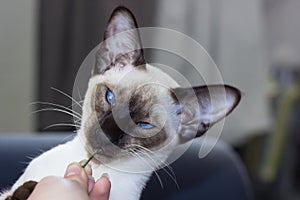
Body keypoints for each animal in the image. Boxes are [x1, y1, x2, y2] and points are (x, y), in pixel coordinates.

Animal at [0, 5, 240, 200]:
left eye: (144, 124)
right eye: (110, 97)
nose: (107, 134)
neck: (93, 169)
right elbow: (14, 193)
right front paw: (27, 190)